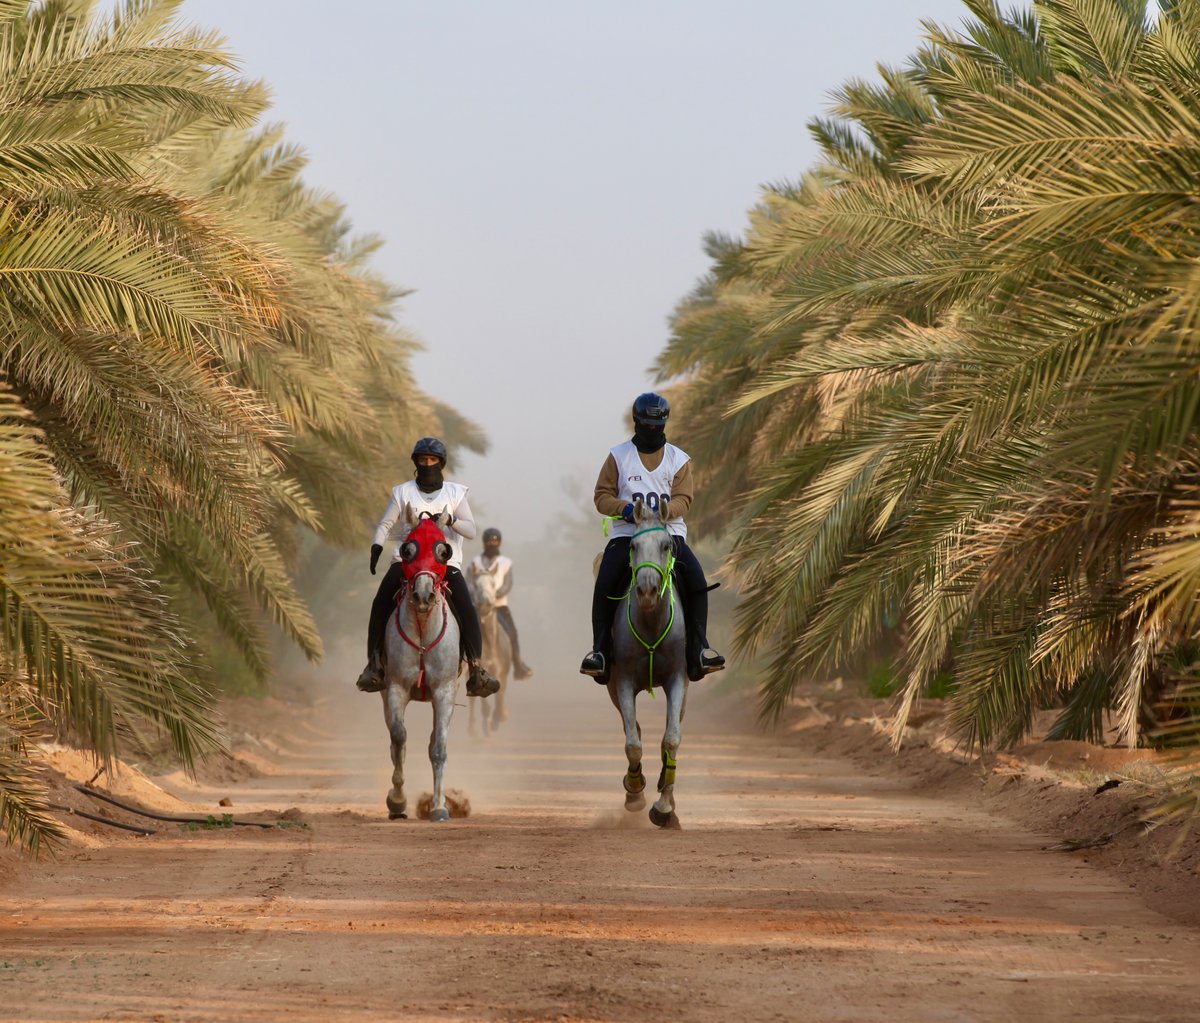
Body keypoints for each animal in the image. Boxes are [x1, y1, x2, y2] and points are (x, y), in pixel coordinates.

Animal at [381, 511, 460, 821]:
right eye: (407, 550)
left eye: (443, 550)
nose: (424, 596)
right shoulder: (395, 688)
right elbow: (398, 739)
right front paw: (397, 800)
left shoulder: (445, 692)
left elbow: (439, 749)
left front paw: (439, 807)